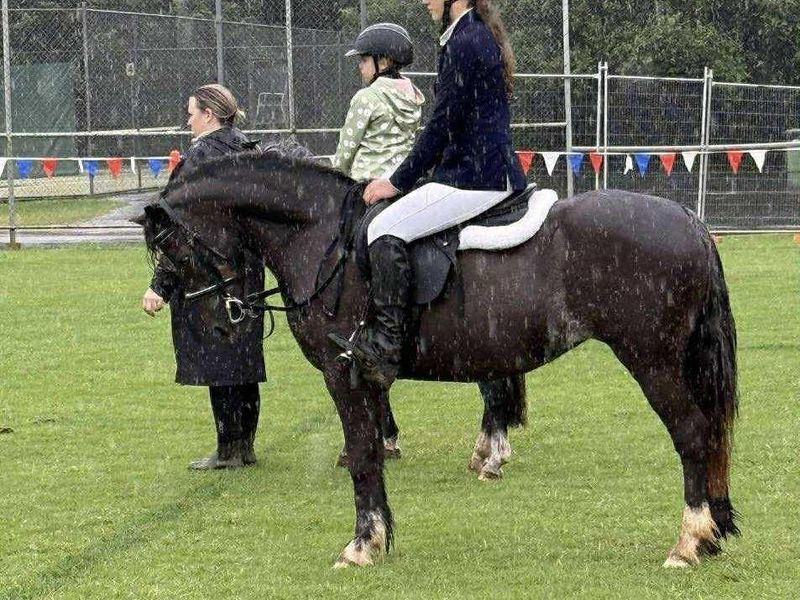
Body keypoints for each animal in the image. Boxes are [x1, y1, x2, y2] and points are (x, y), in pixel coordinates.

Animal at [136, 151, 739, 569]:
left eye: (174, 247)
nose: (220, 322)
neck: (325, 239)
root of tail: (689, 221)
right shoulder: (367, 378)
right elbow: (373, 454)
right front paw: (380, 537)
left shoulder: (342, 373)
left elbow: (363, 455)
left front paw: (361, 546)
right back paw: (711, 532)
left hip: (652, 361)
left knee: (692, 434)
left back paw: (688, 543)